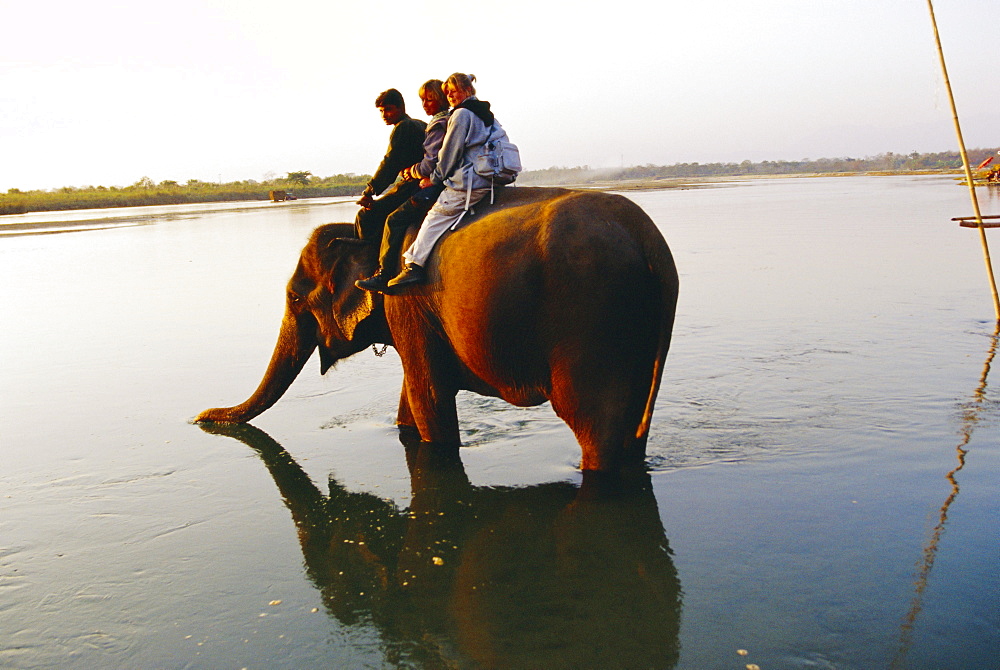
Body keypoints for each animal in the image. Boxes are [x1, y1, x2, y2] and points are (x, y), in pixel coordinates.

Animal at [195, 186, 680, 476]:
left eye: (295, 300)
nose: (198, 418)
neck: (368, 234)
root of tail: (649, 240)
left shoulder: (404, 297)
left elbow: (428, 397)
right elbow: (410, 399)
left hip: (591, 317)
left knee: (593, 423)